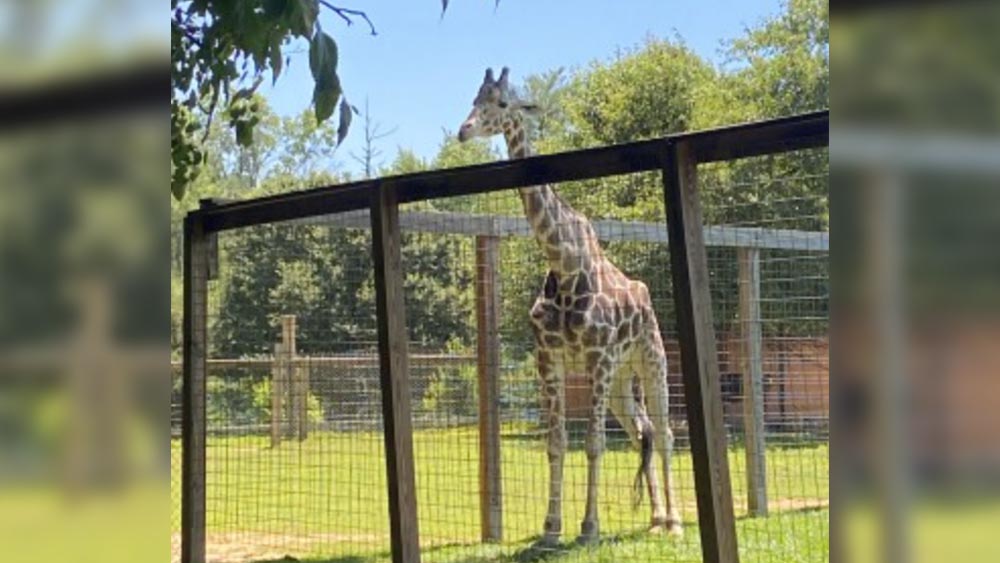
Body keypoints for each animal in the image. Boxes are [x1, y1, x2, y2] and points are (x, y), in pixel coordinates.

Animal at [458, 67, 683, 546]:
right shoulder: (550, 358)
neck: (563, 264)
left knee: (665, 432)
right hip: (619, 381)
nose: (463, 130)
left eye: (502, 104)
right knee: (642, 432)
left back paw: (674, 521)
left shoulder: (597, 357)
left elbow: (594, 444)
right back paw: (655, 518)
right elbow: (557, 443)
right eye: (473, 99)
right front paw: (550, 529)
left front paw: (588, 528)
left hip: (649, 359)